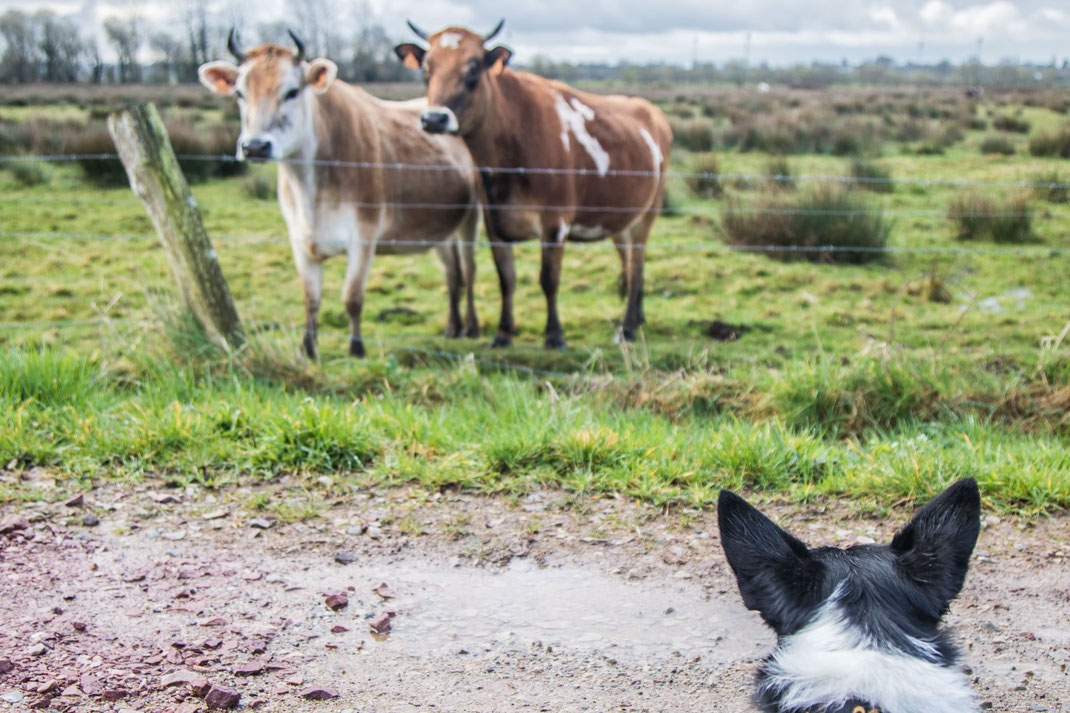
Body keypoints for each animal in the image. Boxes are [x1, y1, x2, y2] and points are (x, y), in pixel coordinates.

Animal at [200, 31, 481, 357]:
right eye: (239, 94)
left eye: (292, 91)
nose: (255, 146)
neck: (311, 191)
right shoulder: (298, 239)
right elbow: (311, 298)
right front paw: (308, 348)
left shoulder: (363, 236)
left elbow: (352, 296)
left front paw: (357, 348)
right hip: (438, 229)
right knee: (452, 273)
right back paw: (452, 326)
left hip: (471, 218)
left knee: (469, 270)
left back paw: (471, 326)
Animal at [398, 19, 671, 346]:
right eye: (426, 69)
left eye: (473, 68)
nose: (434, 119)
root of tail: (649, 109)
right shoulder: (494, 222)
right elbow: (506, 278)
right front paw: (503, 333)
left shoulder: (555, 223)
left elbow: (548, 279)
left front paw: (554, 334)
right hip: (619, 218)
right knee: (629, 265)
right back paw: (638, 318)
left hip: (648, 212)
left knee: (637, 263)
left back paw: (628, 327)